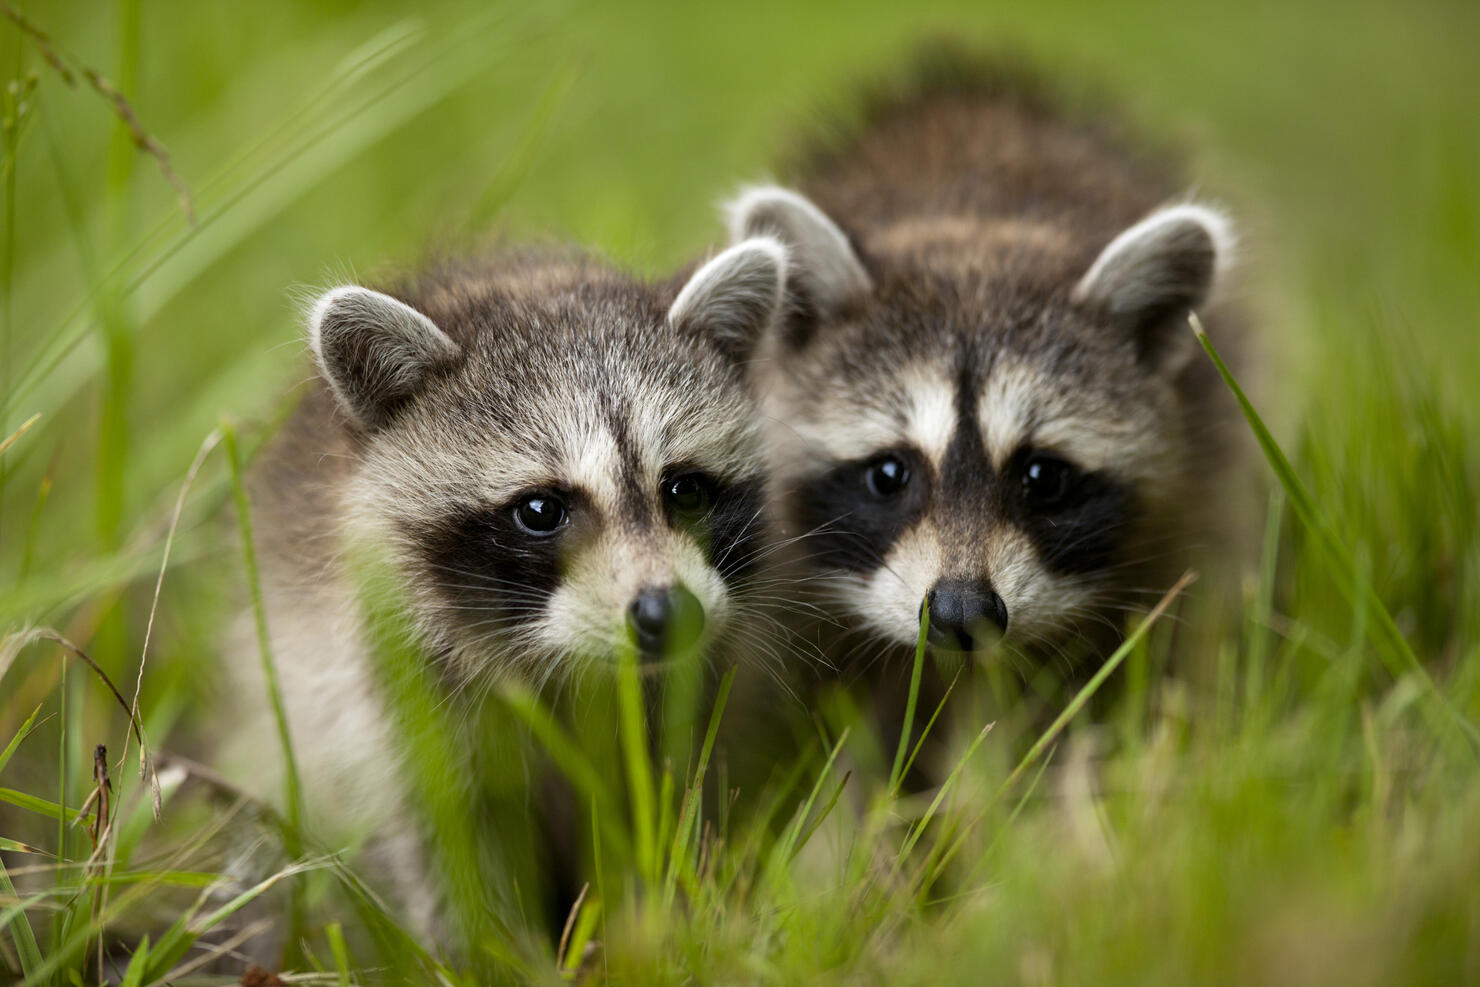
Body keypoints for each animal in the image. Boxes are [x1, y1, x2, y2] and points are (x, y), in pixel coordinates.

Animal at [222, 237, 789, 938]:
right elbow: (450, 848)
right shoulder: (389, 693)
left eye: (685, 490)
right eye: (541, 510)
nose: (667, 613)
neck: (567, 666)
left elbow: (675, 800)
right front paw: (495, 949)